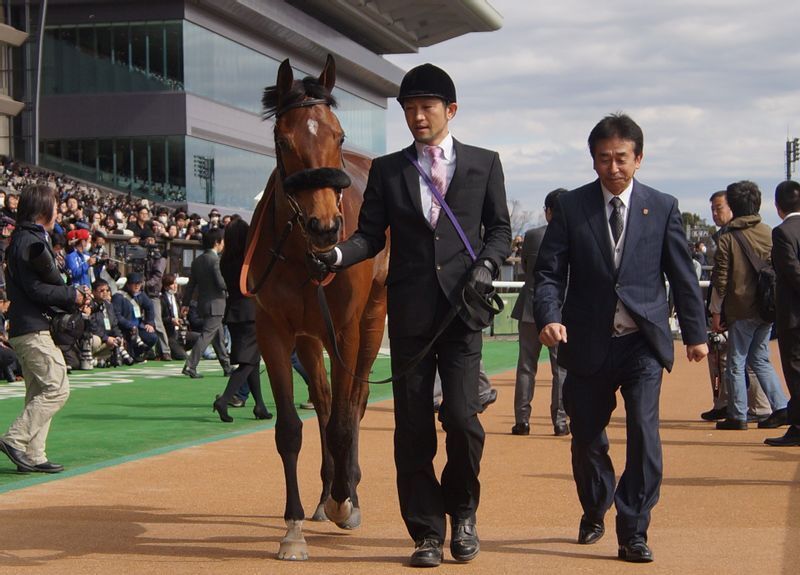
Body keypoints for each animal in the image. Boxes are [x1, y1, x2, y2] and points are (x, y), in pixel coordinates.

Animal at [244, 56, 390, 560]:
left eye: (340, 136)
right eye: (283, 141)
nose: (325, 226)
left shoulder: (346, 329)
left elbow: (346, 420)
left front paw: (347, 501)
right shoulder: (274, 330)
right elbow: (291, 428)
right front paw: (293, 529)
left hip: (373, 320)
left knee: (355, 400)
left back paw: (348, 492)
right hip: (310, 336)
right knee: (325, 403)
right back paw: (326, 493)